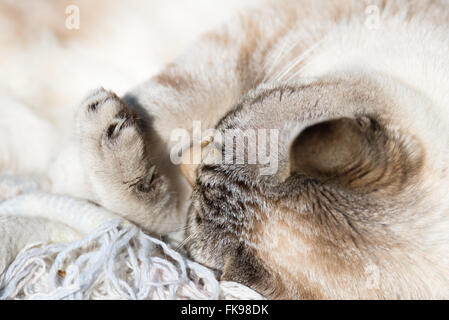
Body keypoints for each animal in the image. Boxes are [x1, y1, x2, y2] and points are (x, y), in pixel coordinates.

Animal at [76, 0, 449, 298]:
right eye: (226, 125)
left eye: (198, 202)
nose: (184, 156)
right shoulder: (264, 31)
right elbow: (169, 101)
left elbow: (146, 216)